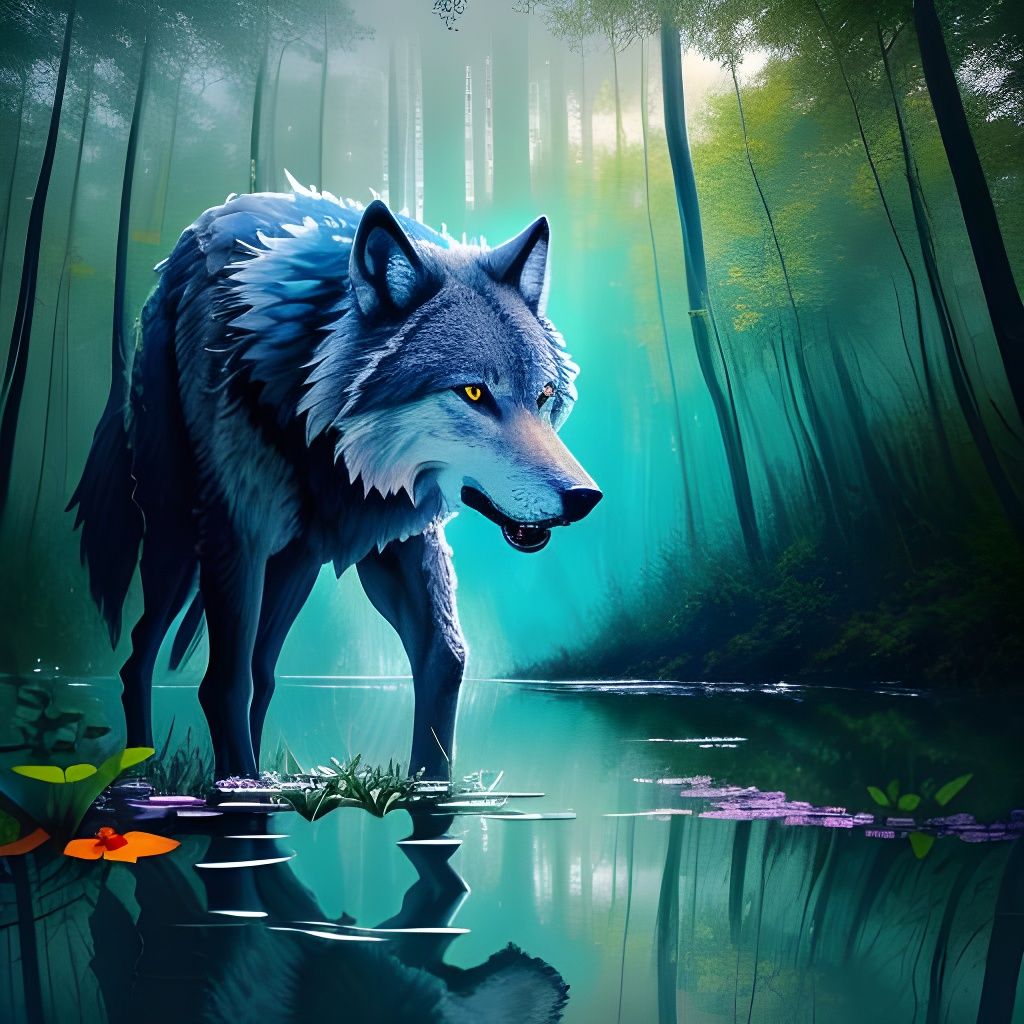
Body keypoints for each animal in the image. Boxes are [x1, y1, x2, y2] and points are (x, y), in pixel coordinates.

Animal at [69, 177, 601, 781]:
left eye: (543, 396)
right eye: (472, 392)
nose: (585, 497)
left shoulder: (395, 528)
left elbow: (446, 659)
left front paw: (433, 788)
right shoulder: (236, 537)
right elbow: (221, 684)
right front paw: (236, 788)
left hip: (294, 565)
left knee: (264, 672)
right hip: (178, 536)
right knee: (142, 656)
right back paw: (140, 771)